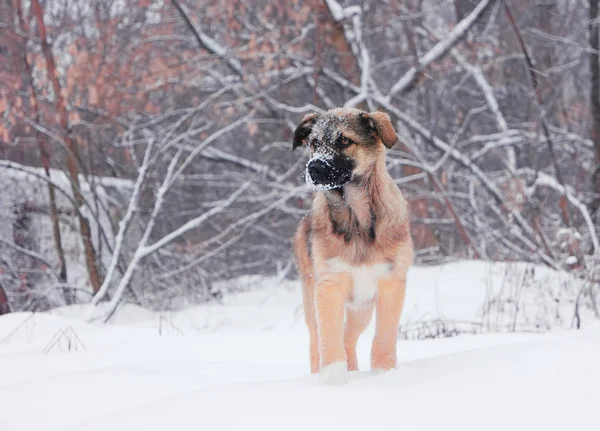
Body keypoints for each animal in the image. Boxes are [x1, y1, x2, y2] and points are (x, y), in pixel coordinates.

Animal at [290, 108, 412, 384]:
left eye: (344, 140)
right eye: (313, 143)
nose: (313, 168)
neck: (358, 219)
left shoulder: (390, 283)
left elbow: (385, 337)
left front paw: (384, 373)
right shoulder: (329, 285)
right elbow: (329, 340)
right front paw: (333, 380)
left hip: (362, 306)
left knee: (348, 337)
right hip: (311, 296)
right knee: (317, 341)